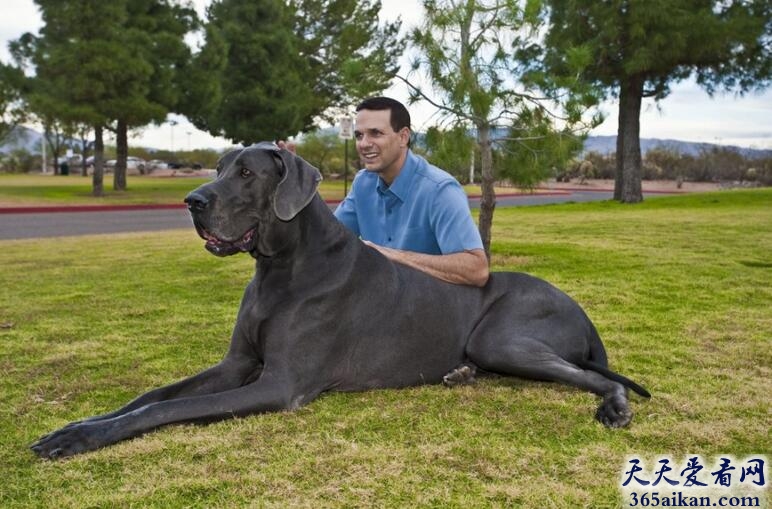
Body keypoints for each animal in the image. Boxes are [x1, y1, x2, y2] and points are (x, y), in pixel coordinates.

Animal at [30, 141, 648, 458]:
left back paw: (614, 406)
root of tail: (583, 311)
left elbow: (166, 410)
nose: (192, 201)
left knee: (598, 377)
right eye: (218, 167)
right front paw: (76, 426)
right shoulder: (236, 364)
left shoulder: (279, 384)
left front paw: (84, 437)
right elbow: (151, 396)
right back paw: (458, 374)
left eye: (247, 173)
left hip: (501, 337)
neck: (280, 268)